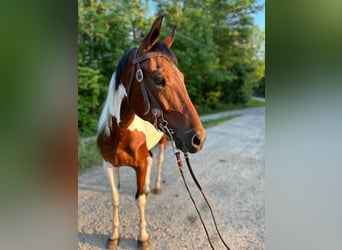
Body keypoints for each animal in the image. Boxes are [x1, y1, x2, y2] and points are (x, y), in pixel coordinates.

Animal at [95, 15, 206, 248]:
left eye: (182, 78)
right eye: (159, 79)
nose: (198, 138)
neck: (118, 134)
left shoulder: (139, 164)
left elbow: (140, 201)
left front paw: (143, 236)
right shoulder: (108, 166)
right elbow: (115, 200)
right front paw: (114, 236)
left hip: (165, 141)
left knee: (159, 161)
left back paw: (153, 187)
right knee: (151, 159)